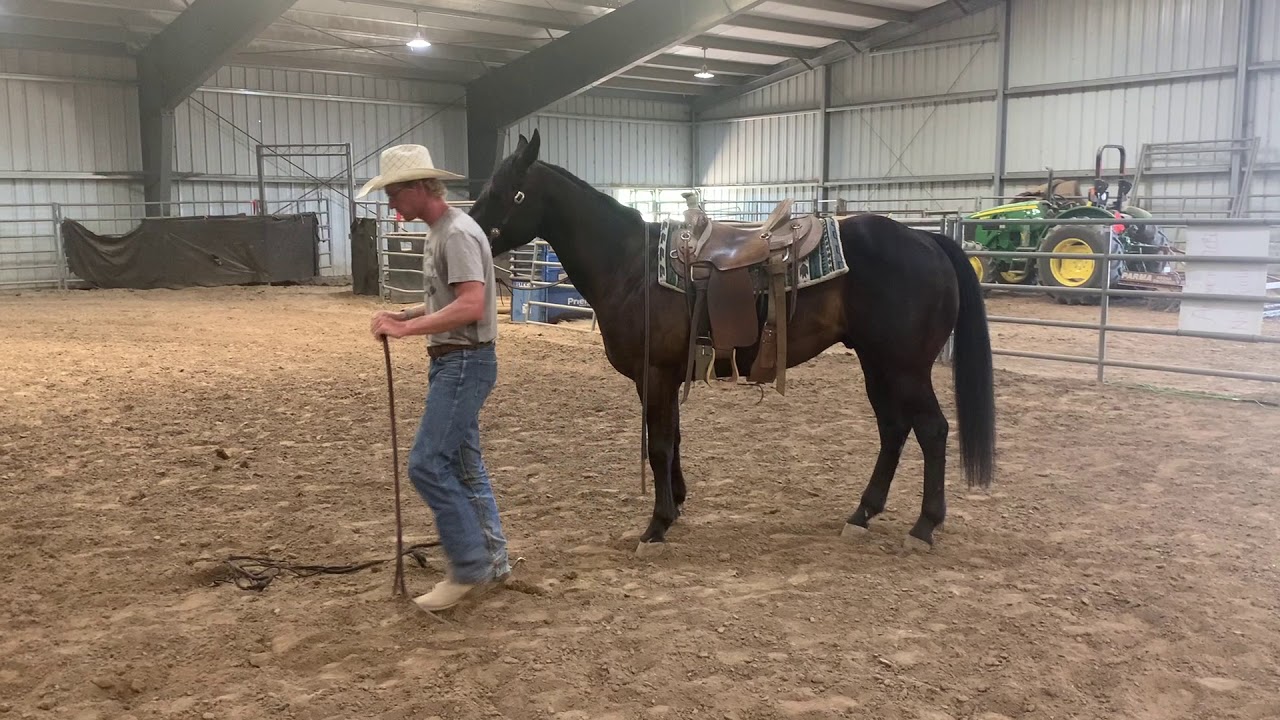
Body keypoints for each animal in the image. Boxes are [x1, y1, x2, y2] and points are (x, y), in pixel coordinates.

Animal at [468, 128, 996, 553]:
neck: (631, 267)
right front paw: (676, 506)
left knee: (931, 430)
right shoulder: (665, 376)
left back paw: (924, 526)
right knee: (893, 428)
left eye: (506, 191)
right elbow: (673, 439)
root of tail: (927, 240)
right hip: (877, 363)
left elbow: (659, 445)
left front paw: (656, 526)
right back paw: (862, 514)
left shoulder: (653, 373)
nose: (469, 230)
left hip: (905, 367)